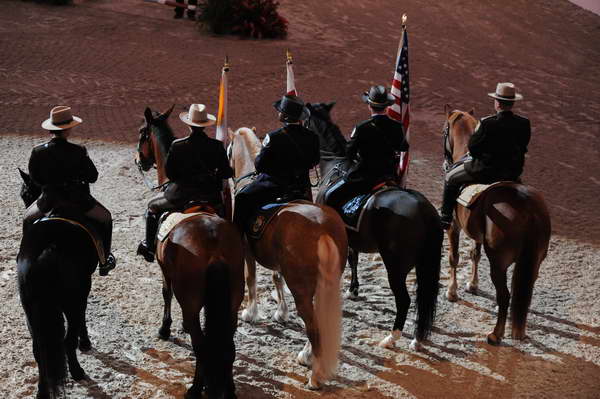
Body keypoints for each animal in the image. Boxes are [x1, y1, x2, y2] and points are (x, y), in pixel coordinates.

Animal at [17, 170, 96, 399]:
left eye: (24, 194)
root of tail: (49, 247)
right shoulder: (82, 294)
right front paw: (85, 342)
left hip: (31, 311)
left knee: (40, 349)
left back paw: (42, 392)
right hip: (72, 301)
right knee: (67, 340)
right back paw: (77, 372)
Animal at [137, 107, 245, 399]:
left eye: (141, 134)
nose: (139, 160)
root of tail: (214, 248)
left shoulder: (164, 269)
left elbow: (166, 293)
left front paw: (165, 328)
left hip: (193, 298)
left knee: (202, 345)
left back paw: (195, 389)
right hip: (233, 301)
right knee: (226, 345)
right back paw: (228, 388)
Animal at [229, 126, 346, 390]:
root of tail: (322, 227)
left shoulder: (246, 250)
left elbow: (251, 279)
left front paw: (250, 313)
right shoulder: (277, 263)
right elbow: (275, 278)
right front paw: (281, 313)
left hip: (302, 289)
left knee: (314, 327)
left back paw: (315, 376)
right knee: (317, 321)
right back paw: (307, 356)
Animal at [308, 102, 442, 354]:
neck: (336, 165)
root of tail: (423, 208)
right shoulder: (351, 237)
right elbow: (353, 259)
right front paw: (353, 290)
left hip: (396, 266)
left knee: (405, 299)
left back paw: (391, 338)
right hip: (423, 263)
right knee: (424, 296)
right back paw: (417, 338)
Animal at [442, 105, 552, 344]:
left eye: (444, 131)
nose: (445, 163)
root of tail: (530, 210)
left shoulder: (453, 226)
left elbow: (454, 257)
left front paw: (452, 291)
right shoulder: (476, 234)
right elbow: (474, 254)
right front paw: (472, 285)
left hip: (499, 263)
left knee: (504, 295)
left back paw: (495, 334)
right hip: (534, 261)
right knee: (523, 292)